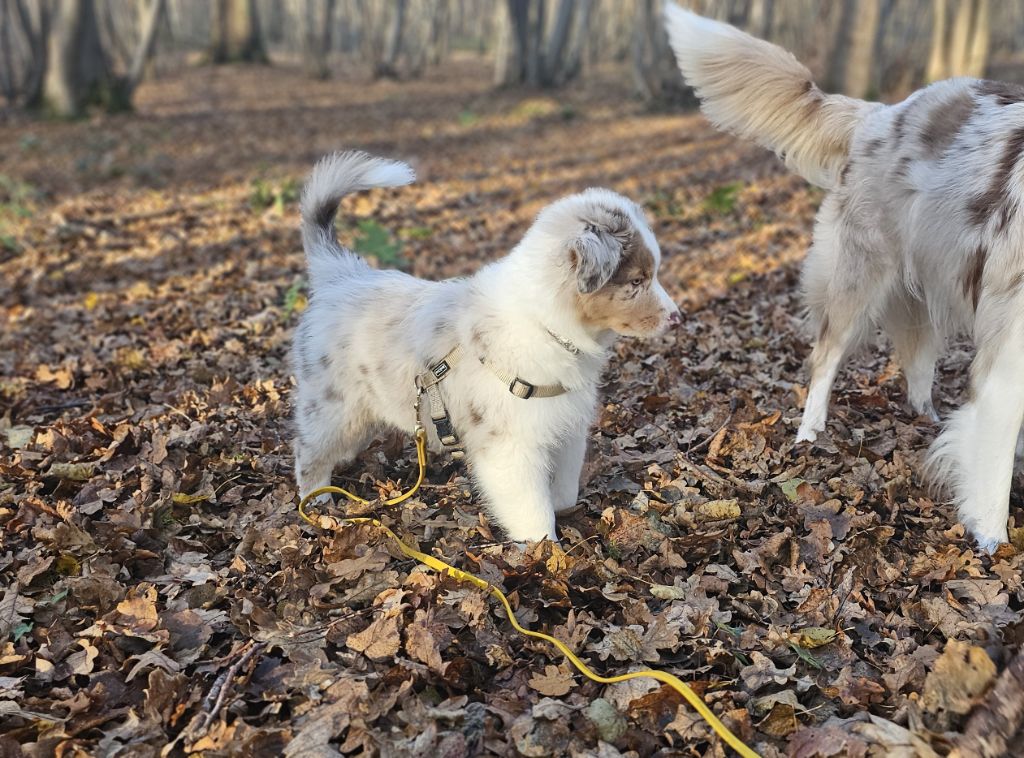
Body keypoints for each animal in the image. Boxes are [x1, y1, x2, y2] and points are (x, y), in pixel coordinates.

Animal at [292, 149, 684, 540]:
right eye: (637, 281)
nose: (678, 318)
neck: (543, 323)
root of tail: (341, 274)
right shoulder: (509, 445)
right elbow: (532, 510)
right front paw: (546, 548)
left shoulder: (566, 425)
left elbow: (564, 486)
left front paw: (565, 512)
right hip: (333, 406)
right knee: (308, 450)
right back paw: (318, 500)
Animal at [667, 4, 1024, 549]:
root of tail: (880, 113)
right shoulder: (1009, 357)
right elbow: (994, 466)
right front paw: (991, 541)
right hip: (860, 279)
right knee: (825, 357)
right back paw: (809, 434)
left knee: (916, 363)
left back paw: (925, 418)